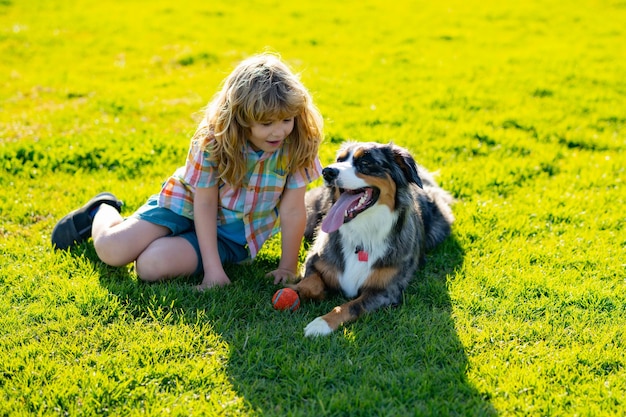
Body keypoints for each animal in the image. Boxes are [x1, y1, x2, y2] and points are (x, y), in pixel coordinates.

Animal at [288, 141, 454, 336]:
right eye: (339, 160)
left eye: (365, 162)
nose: (327, 171)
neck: (363, 234)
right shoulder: (314, 258)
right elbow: (310, 285)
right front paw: (296, 290)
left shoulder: (384, 291)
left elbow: (350, 306)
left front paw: (321, 323)